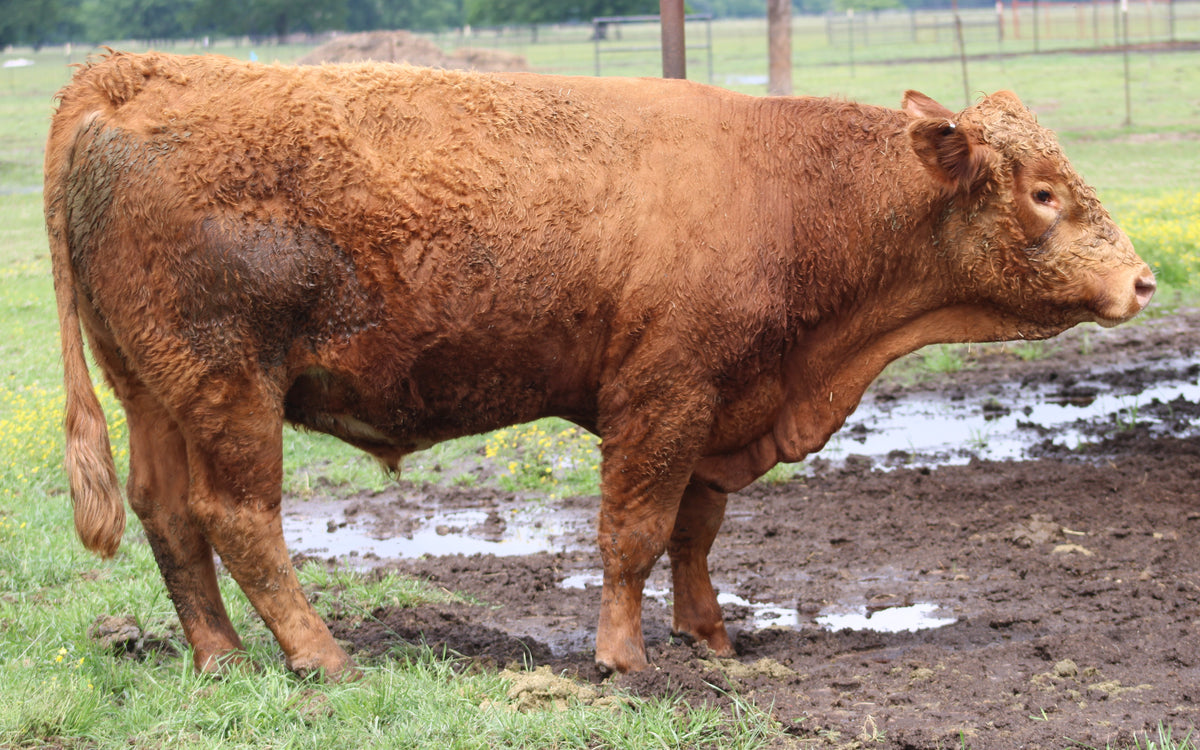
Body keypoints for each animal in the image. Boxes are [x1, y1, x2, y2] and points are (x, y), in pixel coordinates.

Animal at [46, 52, 1154, 680]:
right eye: (1046, 192)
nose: (1143, 281)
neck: (792, 192)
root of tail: (130, 74)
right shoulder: (662, 396)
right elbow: (636, 530)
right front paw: (624, 657)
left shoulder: (718, 404)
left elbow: (696, 534)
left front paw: (710, 639)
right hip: (231, 389)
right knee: (240, 519)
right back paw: (322, 660)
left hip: (154, 391)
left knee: (169, 515)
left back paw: (221, 660)